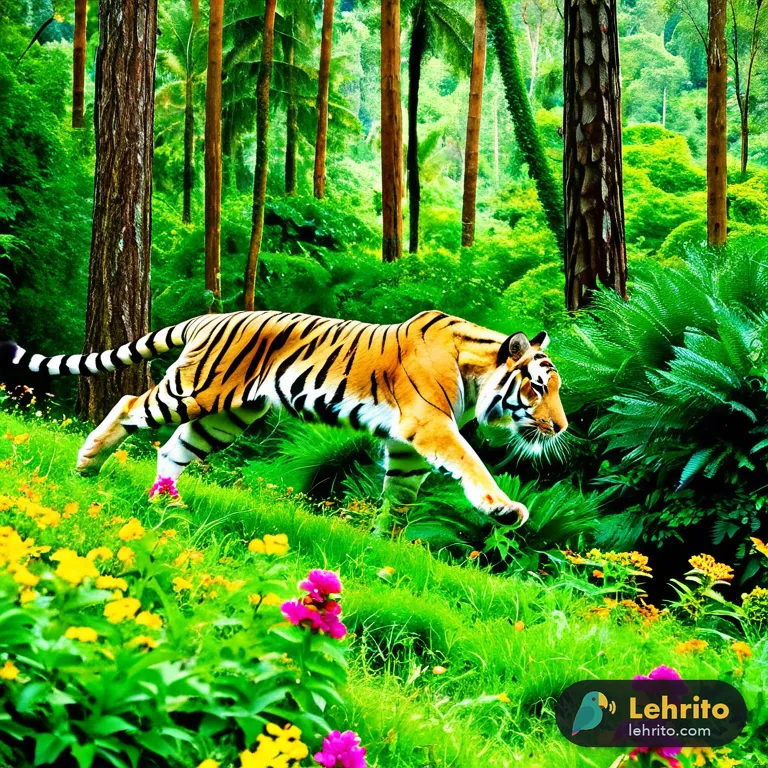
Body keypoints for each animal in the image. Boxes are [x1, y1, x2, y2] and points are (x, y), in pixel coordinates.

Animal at [1, 310, 568, 526]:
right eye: (538, 388)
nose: (560, 427)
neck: (477, 370)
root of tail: (209, 316)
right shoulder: (429, 426)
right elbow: (471, 463)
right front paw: (504, 508)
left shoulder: (405, 449)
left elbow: (398, 502)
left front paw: (383, 550)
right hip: (193, 391)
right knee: (126, 404)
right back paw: (87, 464)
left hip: (227, 415)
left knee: (171, 448)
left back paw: (169, 505)